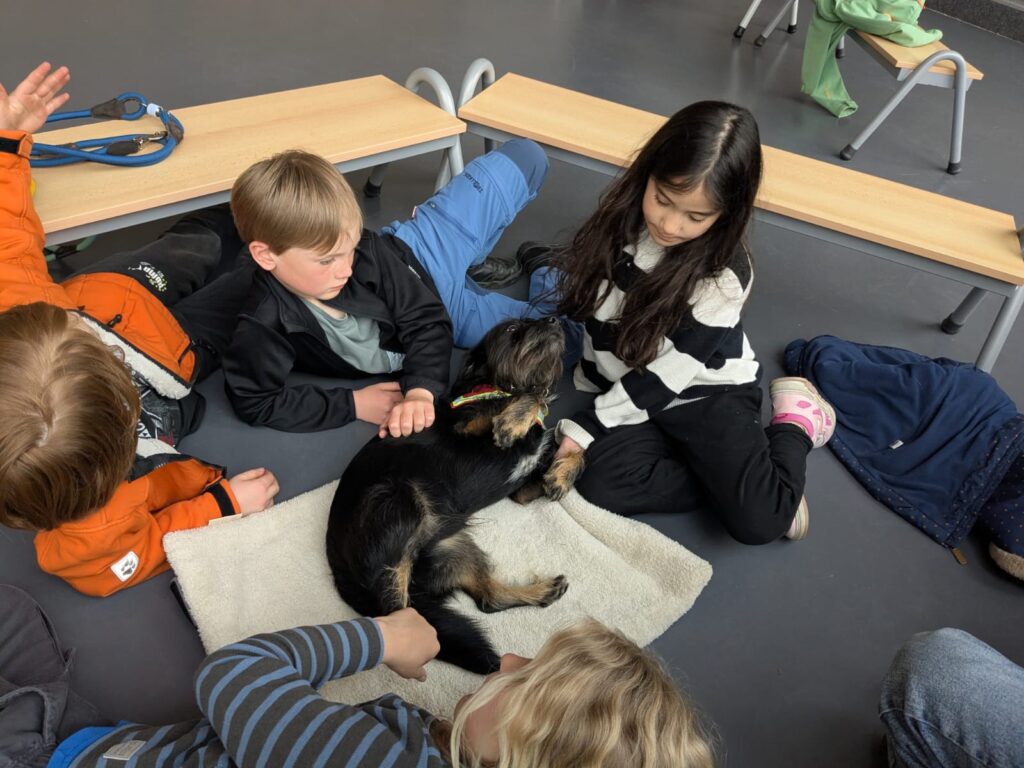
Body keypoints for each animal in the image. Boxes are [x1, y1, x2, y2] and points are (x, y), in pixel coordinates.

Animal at [326, 316, 585, 674]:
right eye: (511, 330)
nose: (554, 319)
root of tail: (336, 564)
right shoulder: (466, 426)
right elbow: (525, 396)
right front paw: (513, 420)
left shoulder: (523, 491)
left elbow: (574, 453)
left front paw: (561, 475)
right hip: (398, 502)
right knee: (395, 610)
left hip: (453, 547)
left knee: (488, 600)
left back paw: (541, 591)